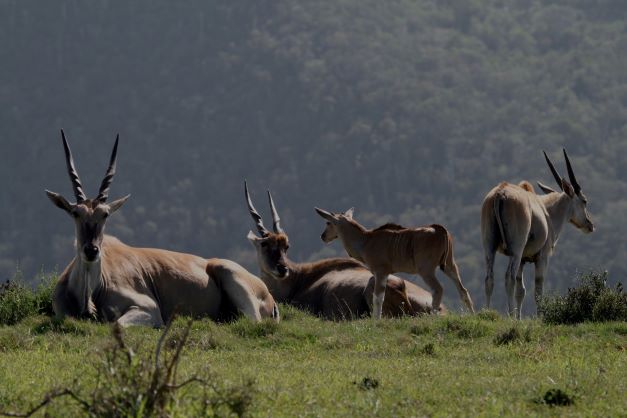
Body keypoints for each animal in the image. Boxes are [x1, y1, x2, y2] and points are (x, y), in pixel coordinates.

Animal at [316, 207, 474, 318]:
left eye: (328, 222)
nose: (322, 236)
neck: (365, 240)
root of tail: (439, 229)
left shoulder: (380, 271)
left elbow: (378, 298)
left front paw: (376, 320)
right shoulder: (385, 274)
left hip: (426, 270)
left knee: (438, 289)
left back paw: (433, 317)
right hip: (450, 266)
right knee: (463, 290)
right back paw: (472, 315)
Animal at [484, 149, 596, 318]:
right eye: (584, 201)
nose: (590, 224)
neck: (546, 211)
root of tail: (500, 193)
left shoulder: (523, 260)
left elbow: (521, 291)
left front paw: (519, 319)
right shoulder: (542, 257)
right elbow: (538, 291)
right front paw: (539, 318)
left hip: (490, 246)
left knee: (489, 278)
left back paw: (486, 313)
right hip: (516, 250)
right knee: (508, 277)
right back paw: (509, 316)